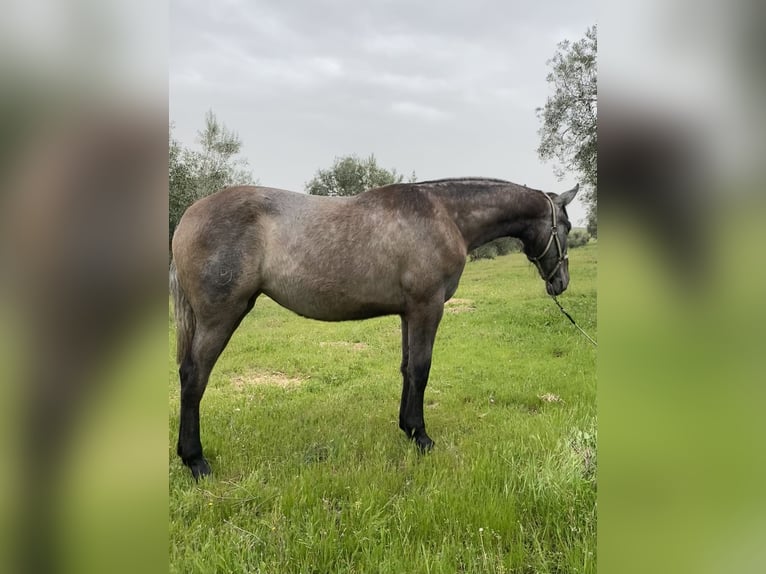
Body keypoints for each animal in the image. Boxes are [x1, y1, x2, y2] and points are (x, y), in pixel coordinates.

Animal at [170, 177, 579, 479]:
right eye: (567, 226)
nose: (561, 283)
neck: (445, 214)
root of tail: (188, 216)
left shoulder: (408, 312)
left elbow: (407, 369)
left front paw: (407, 429)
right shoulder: (427, 308)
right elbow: (421, 369)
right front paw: (422, 437)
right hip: (220, 316)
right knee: (194, 377)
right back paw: (195, 460)